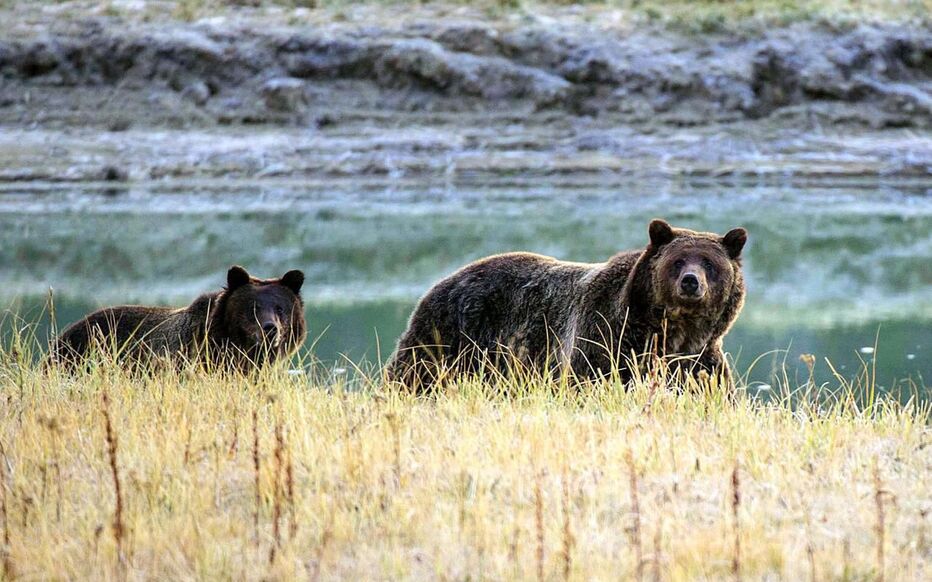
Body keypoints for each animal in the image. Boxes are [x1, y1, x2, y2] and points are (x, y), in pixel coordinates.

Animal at [382, 219, 748, 392]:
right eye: (678, 260)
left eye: (709, 263)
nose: (691, 281)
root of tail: (444, 279)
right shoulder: (605, 339)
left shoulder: (699, 361)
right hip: (450, 335)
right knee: (414, 374)